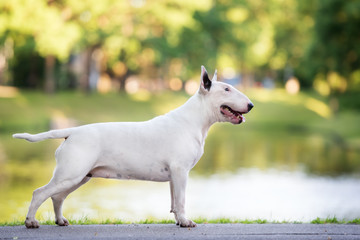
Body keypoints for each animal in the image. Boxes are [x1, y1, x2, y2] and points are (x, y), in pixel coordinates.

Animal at [11, 66, 253, 229]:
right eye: (227, 89)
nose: (251, 105)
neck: (194, 120)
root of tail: (71, 132)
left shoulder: (175, 175)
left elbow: (175, 200)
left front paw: (178, 220)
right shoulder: (180, 171)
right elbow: (182, 200)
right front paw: (186, 222)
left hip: (79, 176)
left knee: (57, 197)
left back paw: (60, 220)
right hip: (71, 174)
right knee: (40, 193)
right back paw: (30, 221)